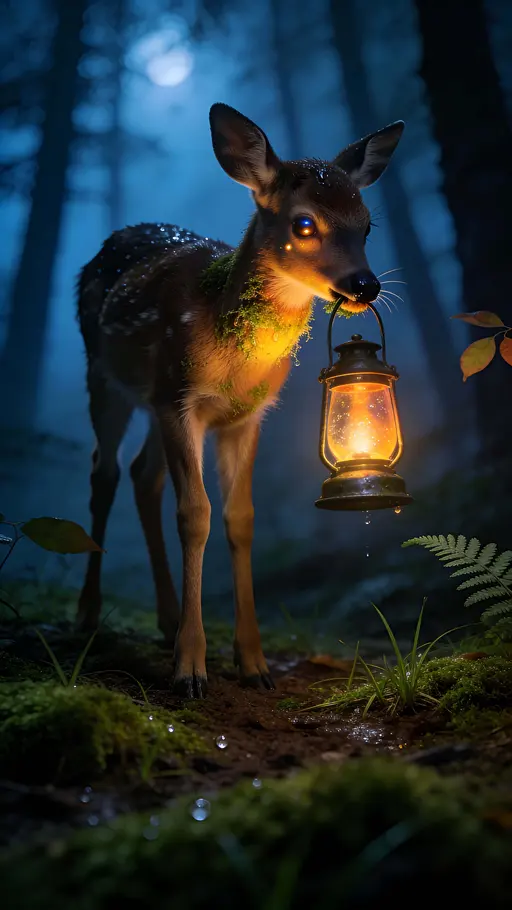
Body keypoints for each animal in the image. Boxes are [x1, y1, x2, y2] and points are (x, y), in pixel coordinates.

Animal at [76, 103, 404, 698]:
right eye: (304, 223)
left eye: (367, 224)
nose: (365, 285)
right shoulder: (180, 399)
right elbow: (195, 514)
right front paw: (190, 669)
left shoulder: (243, 415)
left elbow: (240, 518)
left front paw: (252, 663)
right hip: (107, 378)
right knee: (104, 471)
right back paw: (89, 615)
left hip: (154, 402)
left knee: (142, 475)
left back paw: (165, 619)